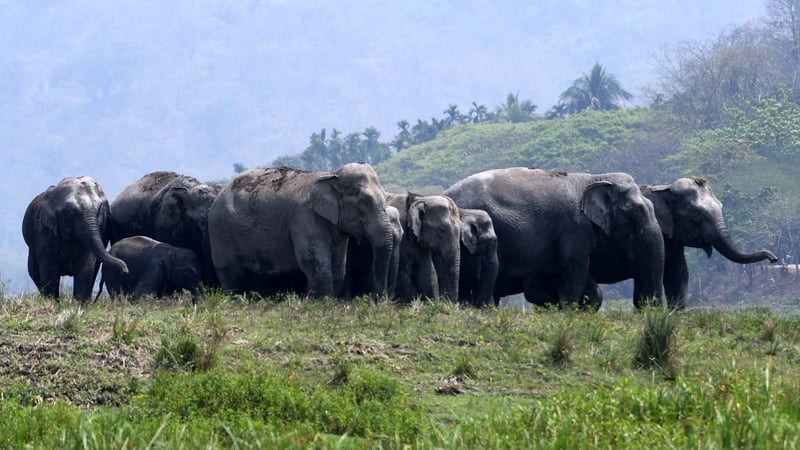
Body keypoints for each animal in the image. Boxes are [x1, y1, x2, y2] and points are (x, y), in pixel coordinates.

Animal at [208, 163, 395, 298]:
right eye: (364, 202)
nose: (378, 301)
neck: (331, 175)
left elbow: (338, 266)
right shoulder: (304, 218)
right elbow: (314, 263)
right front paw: (323, 304)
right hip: (220, 231)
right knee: (231, 274)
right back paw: (234, 301)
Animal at [443, 168, 665, 309]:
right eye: (636, 213)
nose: (645, 307)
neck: (593, 178)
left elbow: (570, 274)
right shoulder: (574, 229)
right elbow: (575, 270)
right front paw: (569, 312)